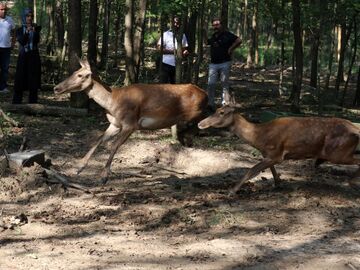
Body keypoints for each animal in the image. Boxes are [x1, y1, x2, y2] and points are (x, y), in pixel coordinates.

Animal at [52, 58, 207, 182]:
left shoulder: (130, 124)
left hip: (195, 113)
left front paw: (104, 176)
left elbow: (114, 145)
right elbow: (99, 139)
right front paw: (79, 167)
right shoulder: (115, 124)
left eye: (80, 75)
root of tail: (204, 93)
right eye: (74, 72)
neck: (112, 103)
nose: (56, 88)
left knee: (201, 122)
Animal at [197, 103, 360, 194]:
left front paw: (232, 191)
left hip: (338, 152)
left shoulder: (276, 153)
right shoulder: (269, 154)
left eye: (221, 113)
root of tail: (355, 129)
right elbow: (272, 170)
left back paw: (352, 183)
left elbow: (251, 170)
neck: (258, 137)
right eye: (217, 110)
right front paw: (278, 184)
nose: (200, 123)